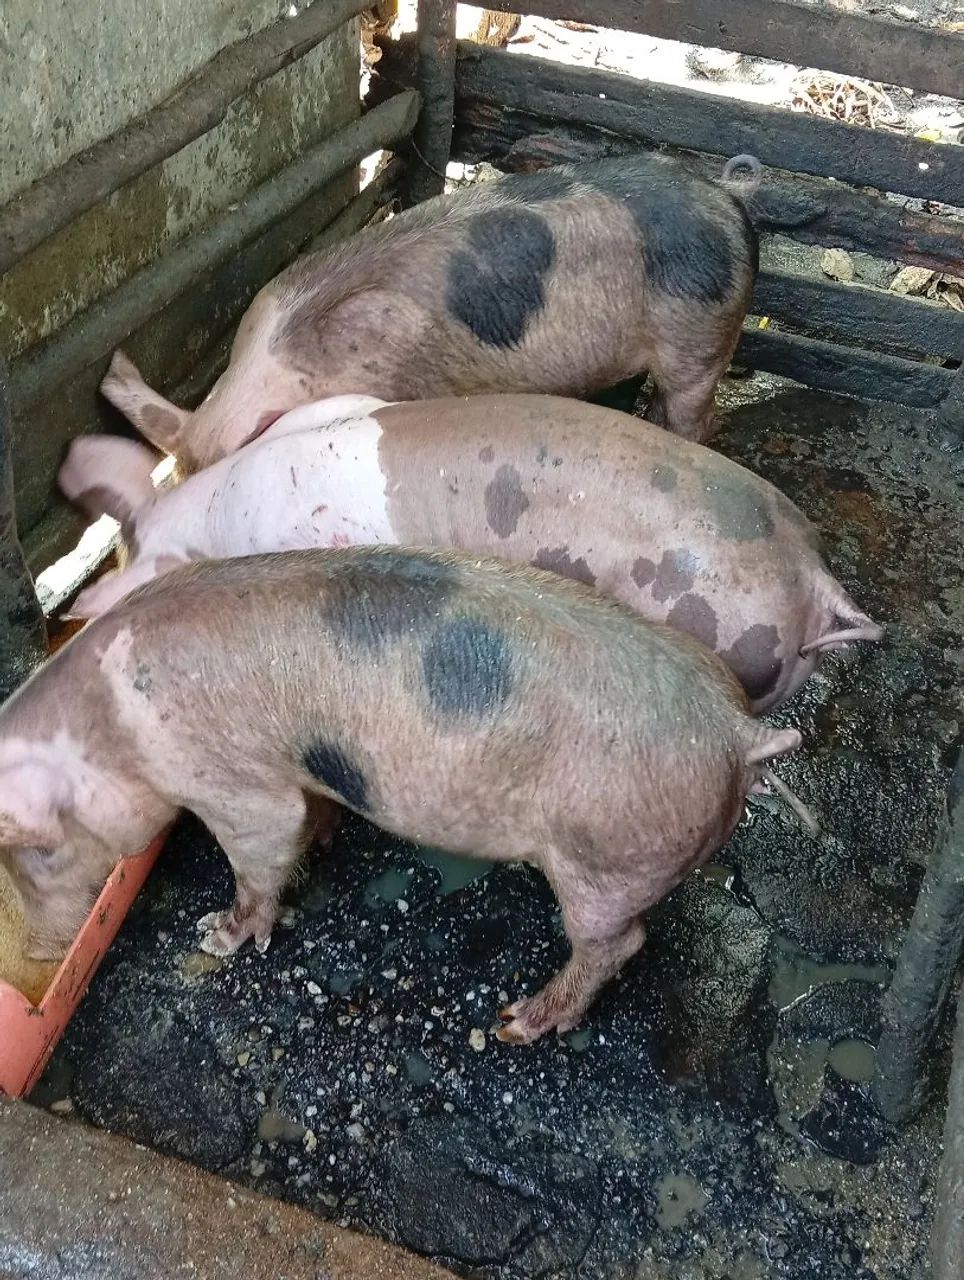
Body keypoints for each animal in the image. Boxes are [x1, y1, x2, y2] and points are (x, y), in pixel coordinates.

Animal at [0, 546, 806, 1043]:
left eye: (37, 855)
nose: (37, 956)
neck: (109, 728)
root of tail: (737, 732)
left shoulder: (231, 780)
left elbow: (262, 851)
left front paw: (214, 935)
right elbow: (310, 817)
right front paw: (323, 841)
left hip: (607, 856)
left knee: (618, 942)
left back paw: (518, 1023)